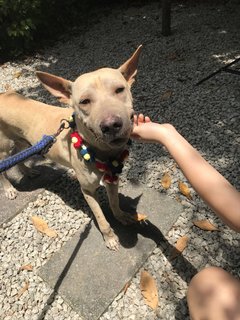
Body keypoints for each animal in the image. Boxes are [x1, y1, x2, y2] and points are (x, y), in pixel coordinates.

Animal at [0, 45, 142, 250]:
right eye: (84, 101)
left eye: (119, 90)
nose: (111, 125)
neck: (100, 152)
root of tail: (5, 94)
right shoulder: (87, 191)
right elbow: (101, 219)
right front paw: (110, 238)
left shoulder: (113, 179)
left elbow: (115, 204)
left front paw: (121, 217)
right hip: (4, 146)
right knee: (4, 168)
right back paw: (9, 189)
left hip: (23, 140)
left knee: (19, 157)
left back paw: (28, 171)